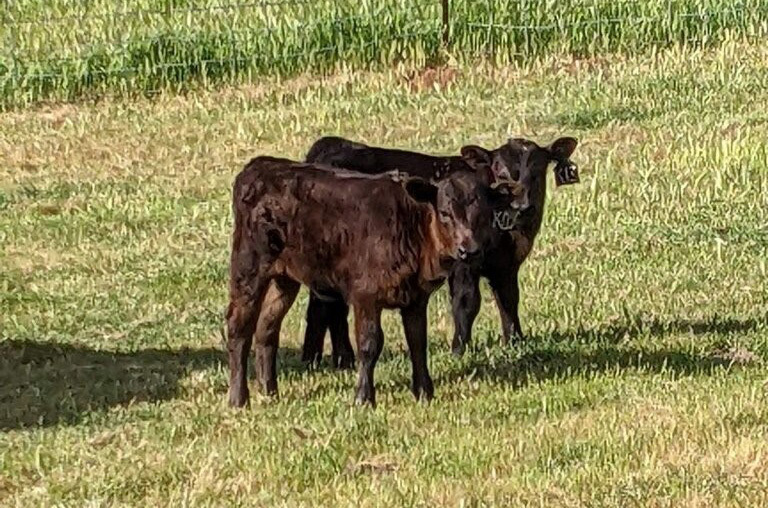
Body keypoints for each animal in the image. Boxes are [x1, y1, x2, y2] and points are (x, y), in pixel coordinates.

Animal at [226, 156, 520, 407]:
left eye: (483, 212)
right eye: (445, 213)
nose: (468, 250)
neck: (411, 227)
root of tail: (261, 165)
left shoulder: (416, 298)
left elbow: (418, 342)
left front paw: (424, 392)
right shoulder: (365, 295)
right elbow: (369, 344)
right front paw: (364, 398)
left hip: (284, 278)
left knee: (267, 328)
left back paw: (269, 391)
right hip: (248, 267)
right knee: (239, 327)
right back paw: (239, 399)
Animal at [300, 136, 579, 365]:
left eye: (538, 172)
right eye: (501, 174)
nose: (523, 206)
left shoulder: (506, 266)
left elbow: (509, 300)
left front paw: (515, 341)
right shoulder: (464, 261)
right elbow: (467, 302)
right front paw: (459, 349)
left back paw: (321, 358)